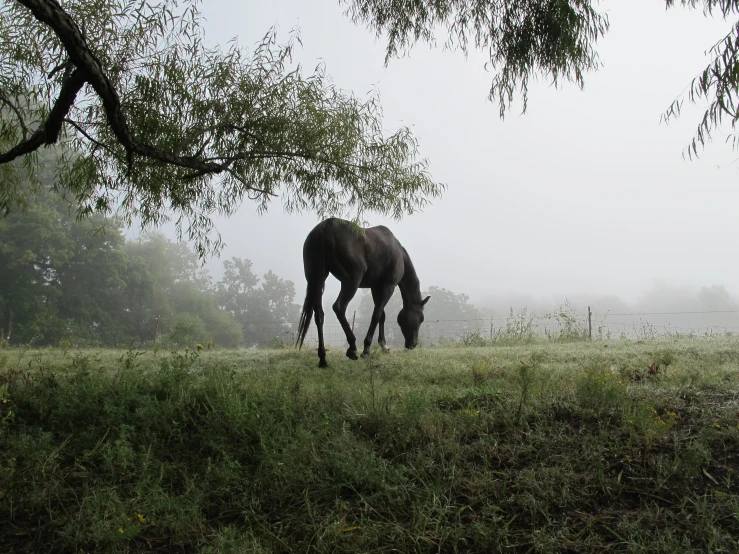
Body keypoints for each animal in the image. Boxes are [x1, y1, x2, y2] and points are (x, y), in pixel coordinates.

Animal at [296, 217, 430, 366]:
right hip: (351, 281)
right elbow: (376, 315)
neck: (398, 253)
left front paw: (384, 346)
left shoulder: (376, 287)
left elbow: (381, 315)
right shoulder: (388, 287)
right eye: (421, 319)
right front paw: (366, 349)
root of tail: (326, 228)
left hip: (317, 280)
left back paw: (323, 358)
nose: (412, 344)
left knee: (319, 314)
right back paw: (352, 348)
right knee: (339, 307)